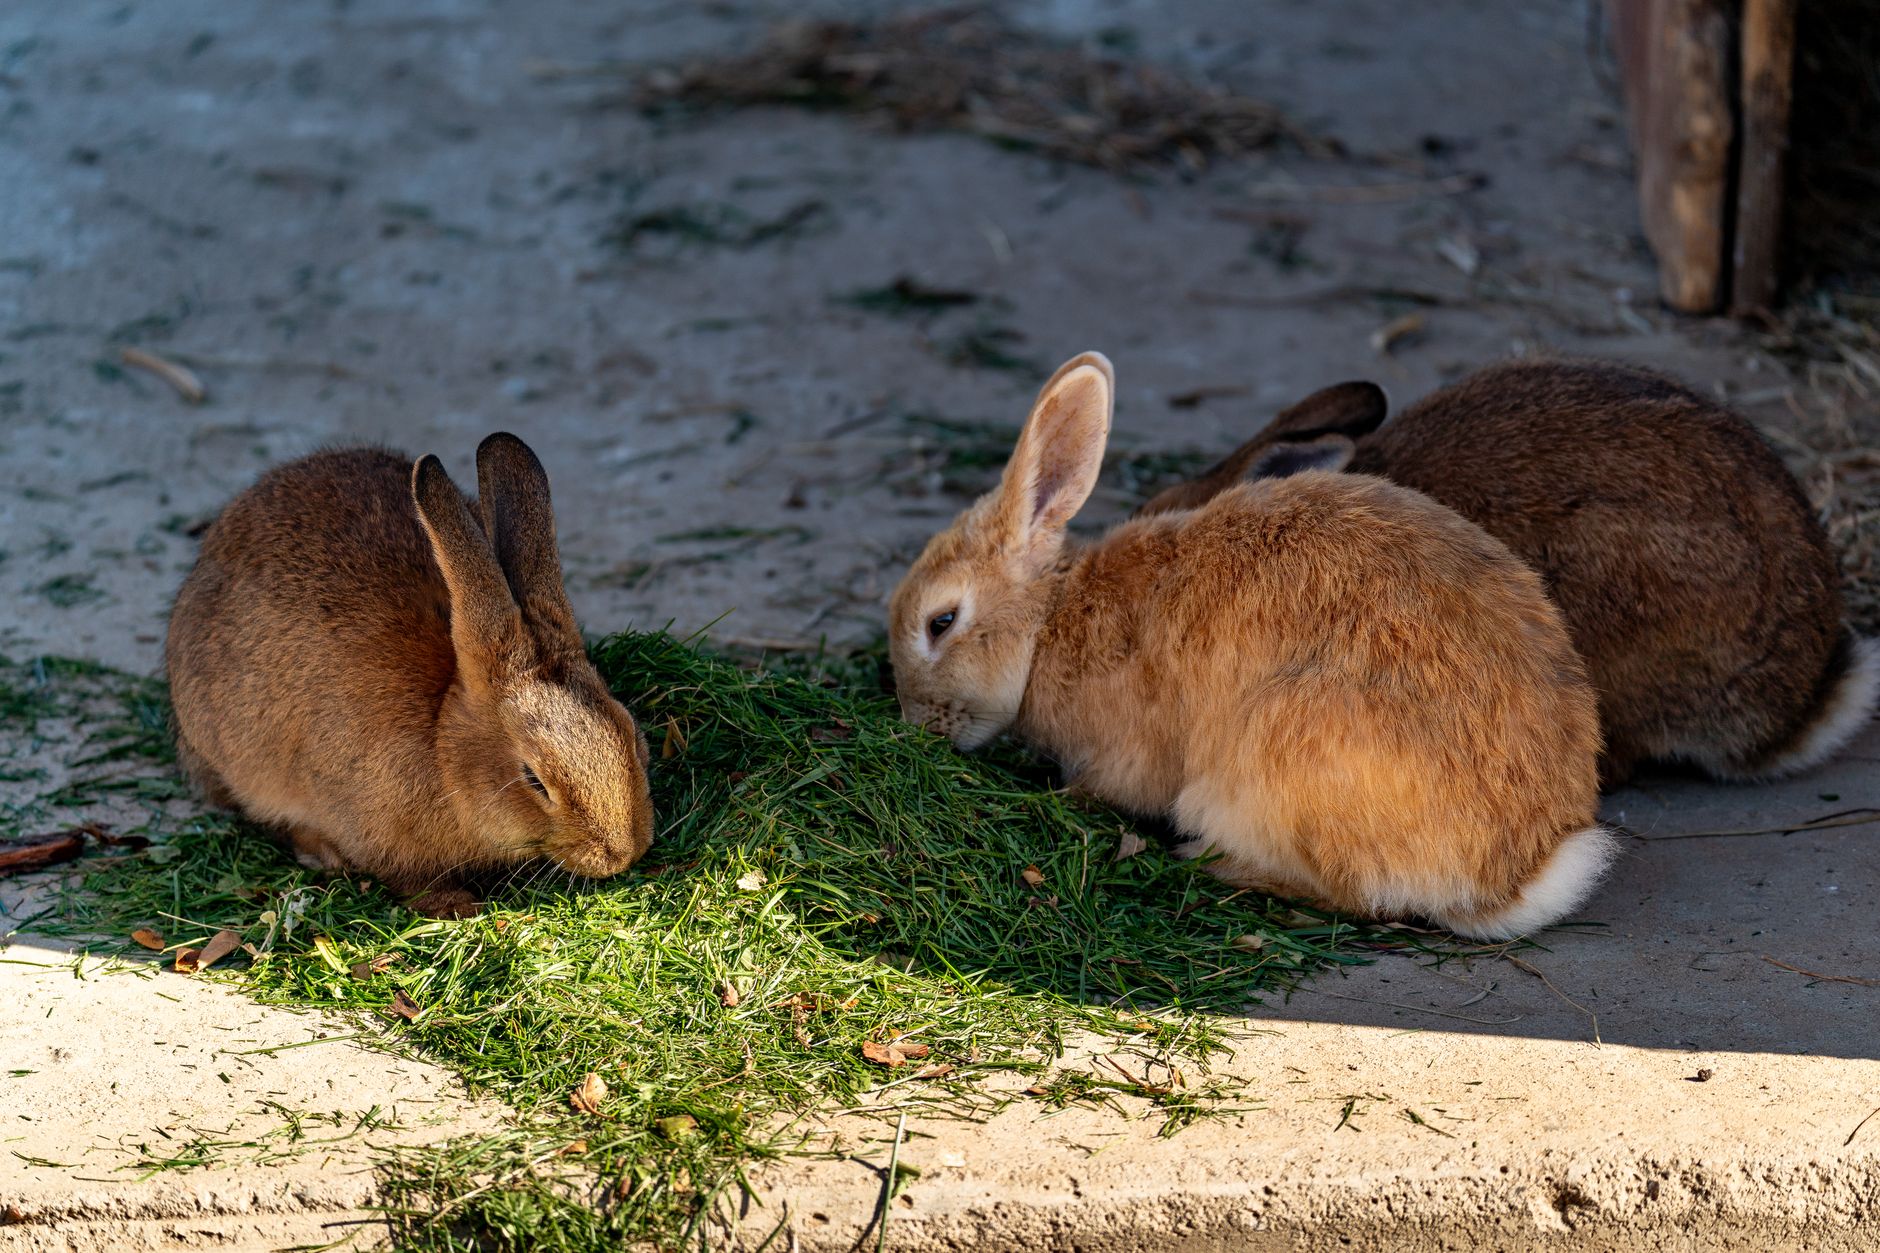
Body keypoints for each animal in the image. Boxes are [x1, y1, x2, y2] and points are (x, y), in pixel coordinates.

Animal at [166, 432, 654, 917]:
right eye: (534, 779)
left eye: (630, 734)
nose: (619, 854)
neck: (442, 742)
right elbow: (411, 880)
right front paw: (458, 908)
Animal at [889, 352, 1616, 940]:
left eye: (941, 622)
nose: (916, 725)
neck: (1050, 622)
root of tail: (1514, 876)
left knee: (1355, 897)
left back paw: (1212, 864)